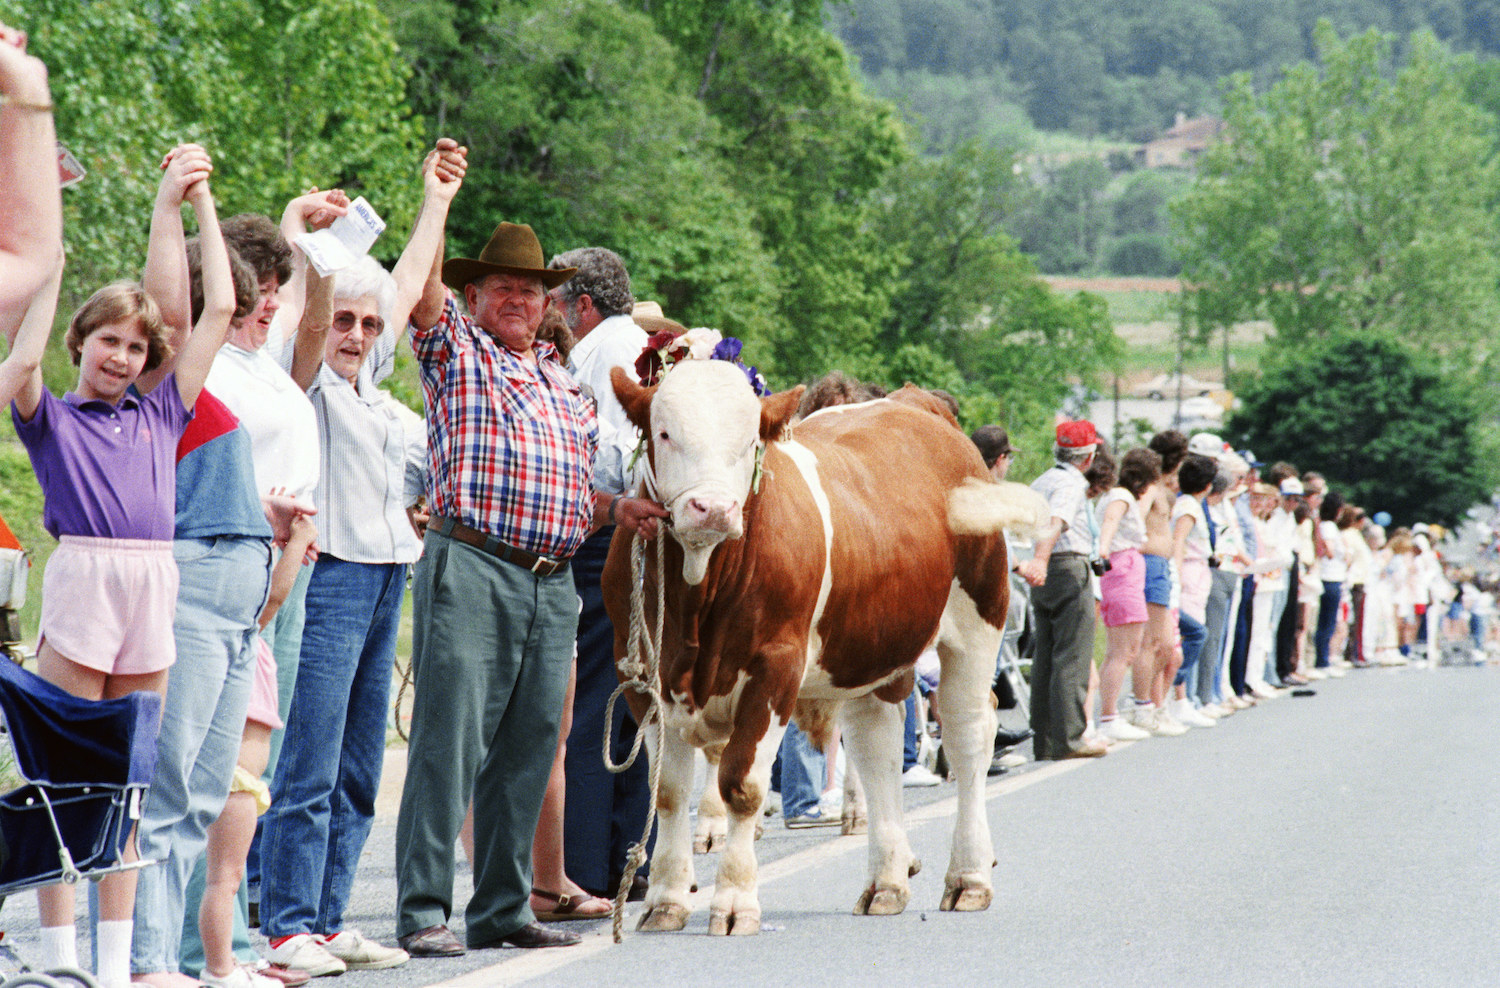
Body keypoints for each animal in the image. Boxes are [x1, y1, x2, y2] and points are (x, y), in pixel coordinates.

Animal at [597, 362, 1044, 935]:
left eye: (749, 441)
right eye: (665, 433)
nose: (712, 508)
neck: (698, 606)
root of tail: (915, 403)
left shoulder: (775, 668)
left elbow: (742, 785)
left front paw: (735, 901)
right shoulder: (640, 675)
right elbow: (670, 792)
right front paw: (665, 899)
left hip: (979, 616)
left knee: (968, 734)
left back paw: (968, 877)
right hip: (873, 647)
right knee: (877, 745)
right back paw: (886, 881)